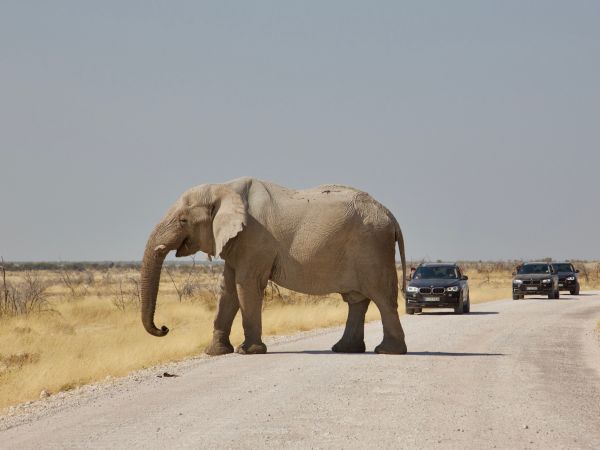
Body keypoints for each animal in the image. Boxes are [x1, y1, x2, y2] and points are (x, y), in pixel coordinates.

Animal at [142, 176, 408, 356]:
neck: (225, 188)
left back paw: (387, 351)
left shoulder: (255, 238)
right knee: (357, 300)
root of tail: (391, 215)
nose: (164, 328)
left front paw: (248, 351)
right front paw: (215, 352)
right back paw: (345, 349)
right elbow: (227, 290)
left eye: (182, 220)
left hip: (372, 246)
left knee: (383, 298)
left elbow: (245, 285)